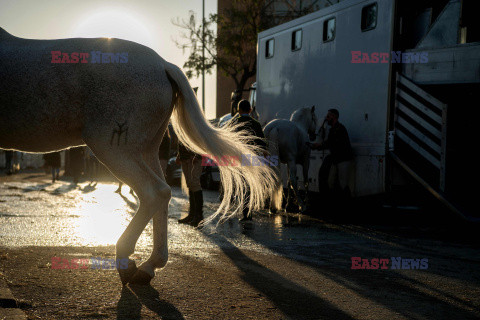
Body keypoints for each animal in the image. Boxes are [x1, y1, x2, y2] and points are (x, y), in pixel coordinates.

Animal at [0, 28, 276, 284]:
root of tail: (163, 65)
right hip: (147, 150)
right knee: (163, 193)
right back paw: (150, 265)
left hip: (112, 146)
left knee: (155, 192)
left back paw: (127, 259)